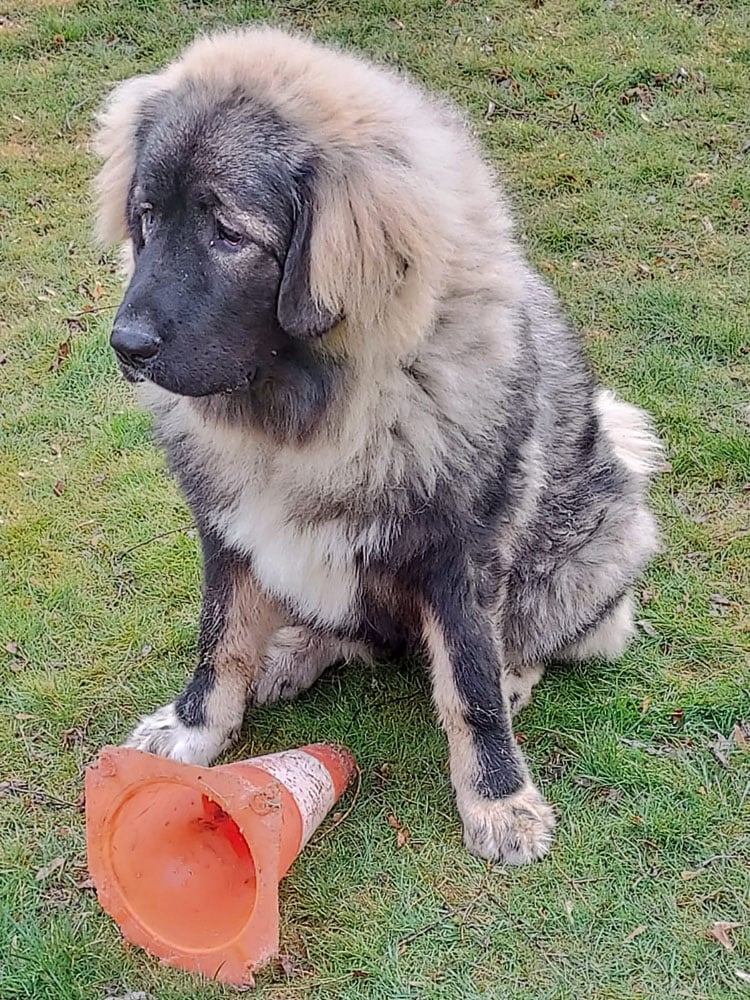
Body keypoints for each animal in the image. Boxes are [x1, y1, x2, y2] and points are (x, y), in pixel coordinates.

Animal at [93, 26, 662, 864]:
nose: (126, 346)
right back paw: (292, 651)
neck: (310, 411)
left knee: (547, 633)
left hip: (597, 544)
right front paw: (194, 726)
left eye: (230, 234)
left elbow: (470, 684)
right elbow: (220, 638)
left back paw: (516, 672)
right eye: (147, 218)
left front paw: (499, 798)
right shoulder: (228, 528)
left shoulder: (459, 555)